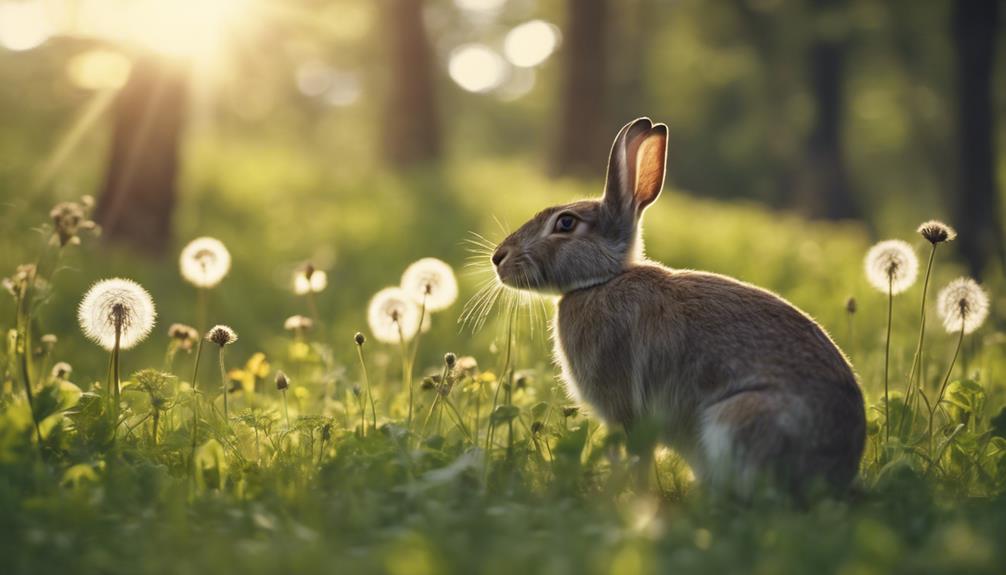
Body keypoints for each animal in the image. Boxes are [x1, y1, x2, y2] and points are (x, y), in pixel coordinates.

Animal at [490, 117, 865, 497]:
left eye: (565, 223)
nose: (498, 258)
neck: (601, 281)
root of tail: (837, 469)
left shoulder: (625, 409)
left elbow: (635, 456)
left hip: (737, 420)